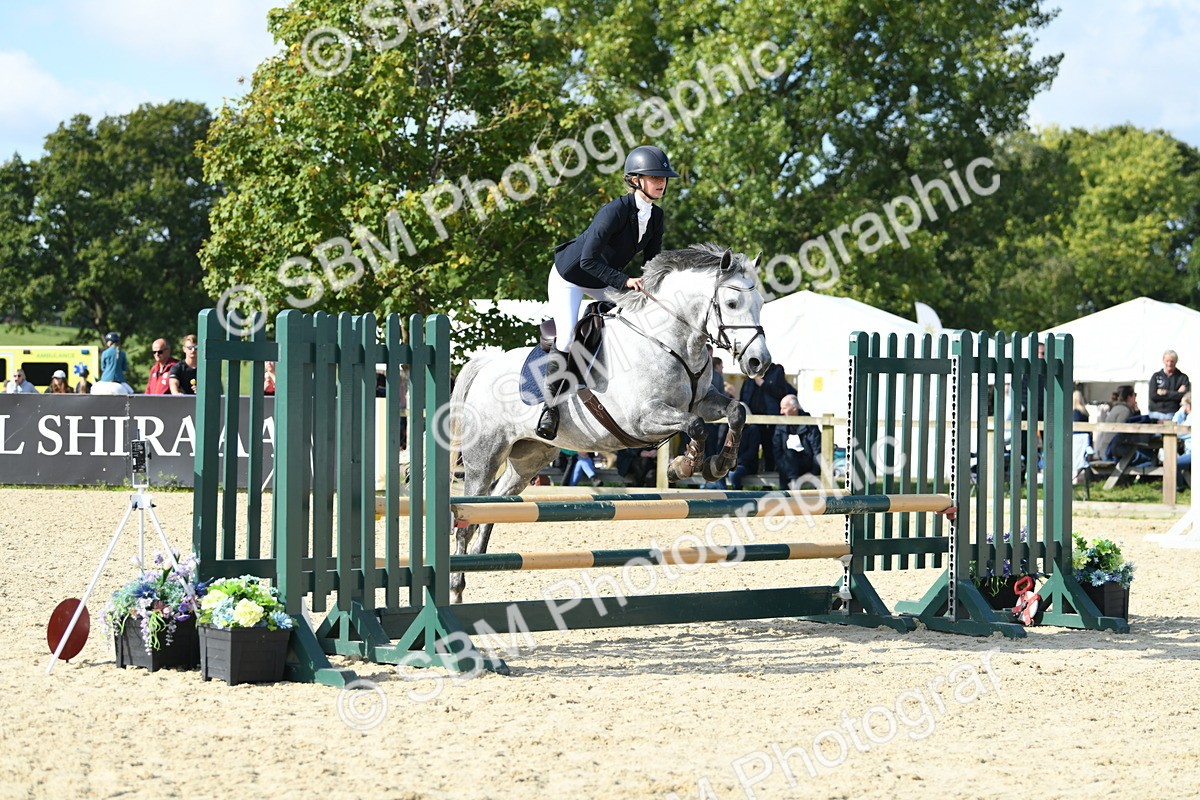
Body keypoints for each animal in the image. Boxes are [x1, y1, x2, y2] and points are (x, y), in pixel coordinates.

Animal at [448, 243, 773, 602]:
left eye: (761, 304)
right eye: (731, 304)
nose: (759, 363)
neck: (669, 341)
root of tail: (485, 364)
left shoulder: (703, 401)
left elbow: (736, 412)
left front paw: (719, 463)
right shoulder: (641, 419)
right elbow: (696, 426)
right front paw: (683, 466)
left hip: (529, 457)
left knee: (493, 507)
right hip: (485, 456)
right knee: (467, 517)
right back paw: (457, 588)